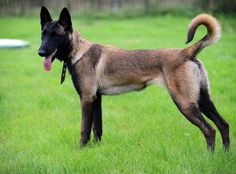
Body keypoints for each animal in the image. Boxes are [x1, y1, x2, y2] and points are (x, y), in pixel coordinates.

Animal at [38, 6, 230, 151]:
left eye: (56, 35)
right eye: (43, 34)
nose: (40, 52)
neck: (78, 50)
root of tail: (186, 52)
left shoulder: (86, 99)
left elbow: (84, 129)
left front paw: (82, 149)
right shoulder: (96, 99)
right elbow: (97, 128)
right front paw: (96, 149)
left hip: (185, 103)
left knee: (210, 130)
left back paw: (209, 156)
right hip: (203, 100)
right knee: (223, 125)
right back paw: (225, 154)